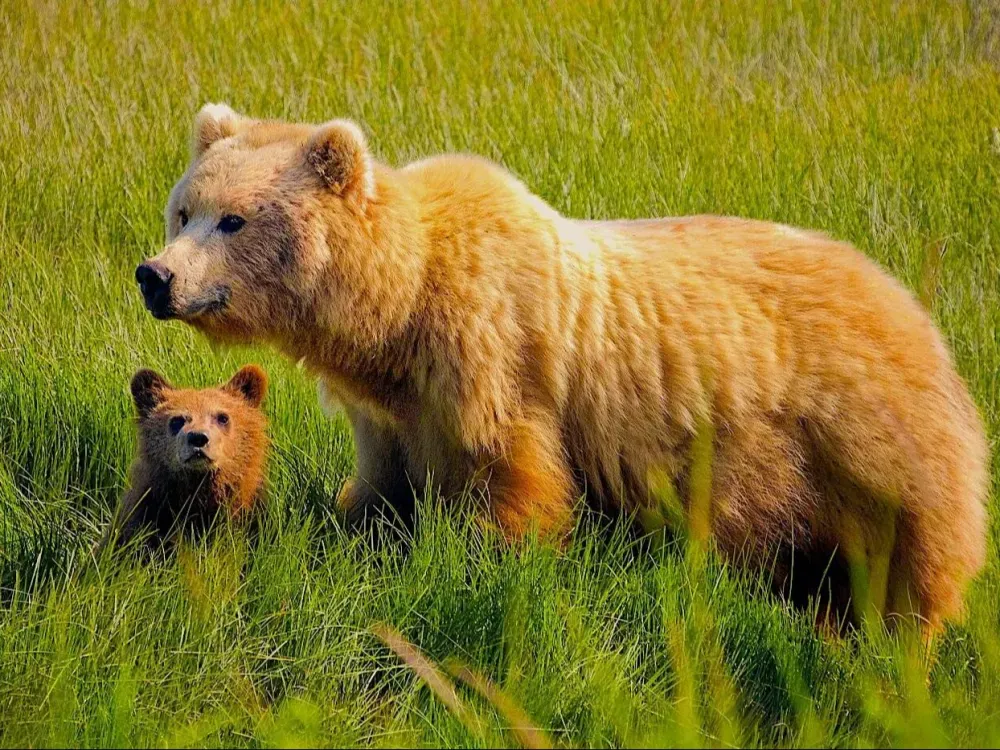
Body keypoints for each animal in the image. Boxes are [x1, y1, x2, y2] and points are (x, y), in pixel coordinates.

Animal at [134, 103, 988, 631]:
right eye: (183, 210)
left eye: (234, 219)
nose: (156, 276)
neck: (399, 309)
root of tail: (908, 301)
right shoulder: (392, 408)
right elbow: (381, 489)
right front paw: (356, 533)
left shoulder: (491, 358)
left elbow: (513, 478)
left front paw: (491, 564)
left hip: (861, 436)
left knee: (912, 555)